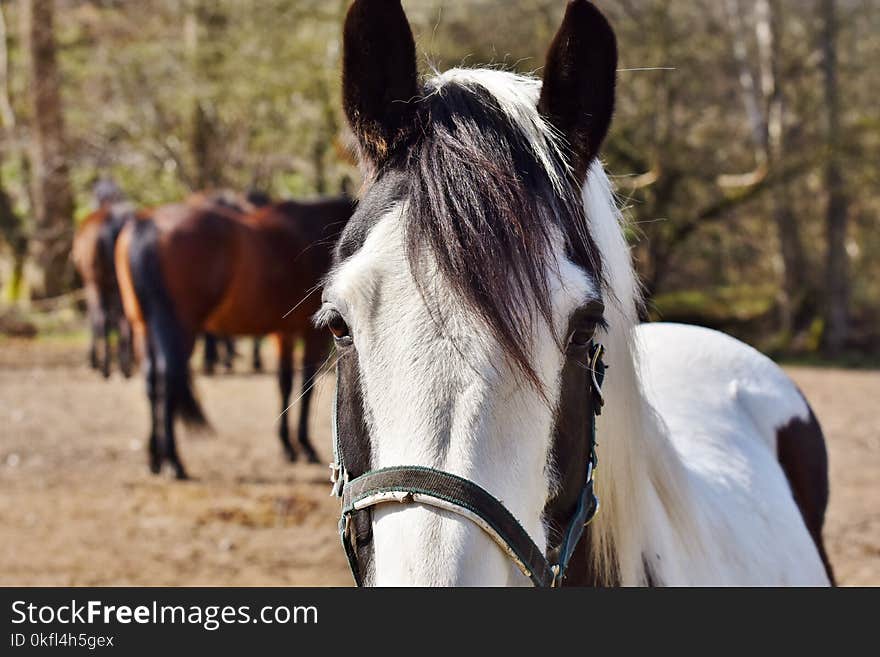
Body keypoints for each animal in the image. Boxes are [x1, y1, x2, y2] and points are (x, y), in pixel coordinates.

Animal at [72, 202, 135, 376]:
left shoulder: (91, 284)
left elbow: (93, 317)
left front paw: (94, 360)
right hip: (121, 283)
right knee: (125, 317)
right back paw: (125, 366)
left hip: (96, 283)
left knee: (102, 317)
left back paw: (105, 367)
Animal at [115, 193, 356, 476]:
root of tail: (149, 221)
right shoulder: (310, 335)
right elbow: (305, 387)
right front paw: (305, 446)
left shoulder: (283, 333)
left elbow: (285, 384)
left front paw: (288, 445)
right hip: (179, 330)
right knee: (167, 380)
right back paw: (174, 460)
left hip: (144, 328)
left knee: (151, 382)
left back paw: (155, 458)